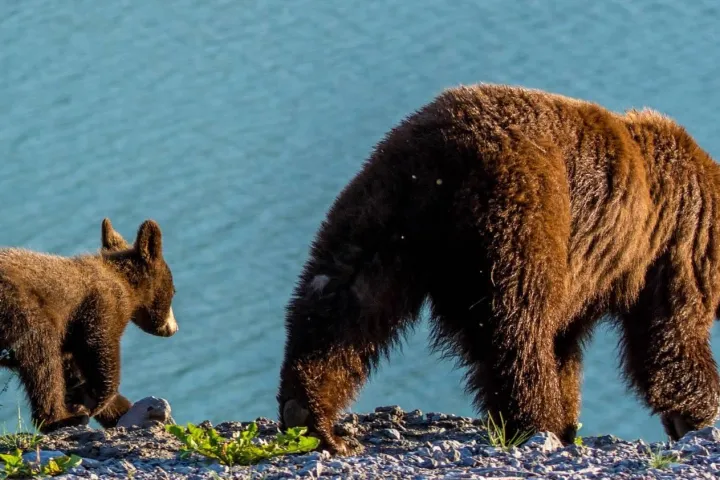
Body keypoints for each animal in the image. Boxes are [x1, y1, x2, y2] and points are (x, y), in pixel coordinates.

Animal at [0, 217, 178, 433]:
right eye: (174, 291)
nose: (172, 328)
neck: (124, 284)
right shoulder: (100, 305)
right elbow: (99, 348)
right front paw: (97, 401)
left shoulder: (70, 336)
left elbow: (73, 370)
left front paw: (116, 408)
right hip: (21, 309)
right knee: (41, 359)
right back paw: (61, 418)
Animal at [276, 83, 720, 455]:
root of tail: (444, 162)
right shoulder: (680, 239)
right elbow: (669, 336)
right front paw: (700, 413)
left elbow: (570, 343)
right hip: (522, 215)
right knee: (518, 327)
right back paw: (535, 422)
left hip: (383, 208)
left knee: (344, 298)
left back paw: (314, 418)